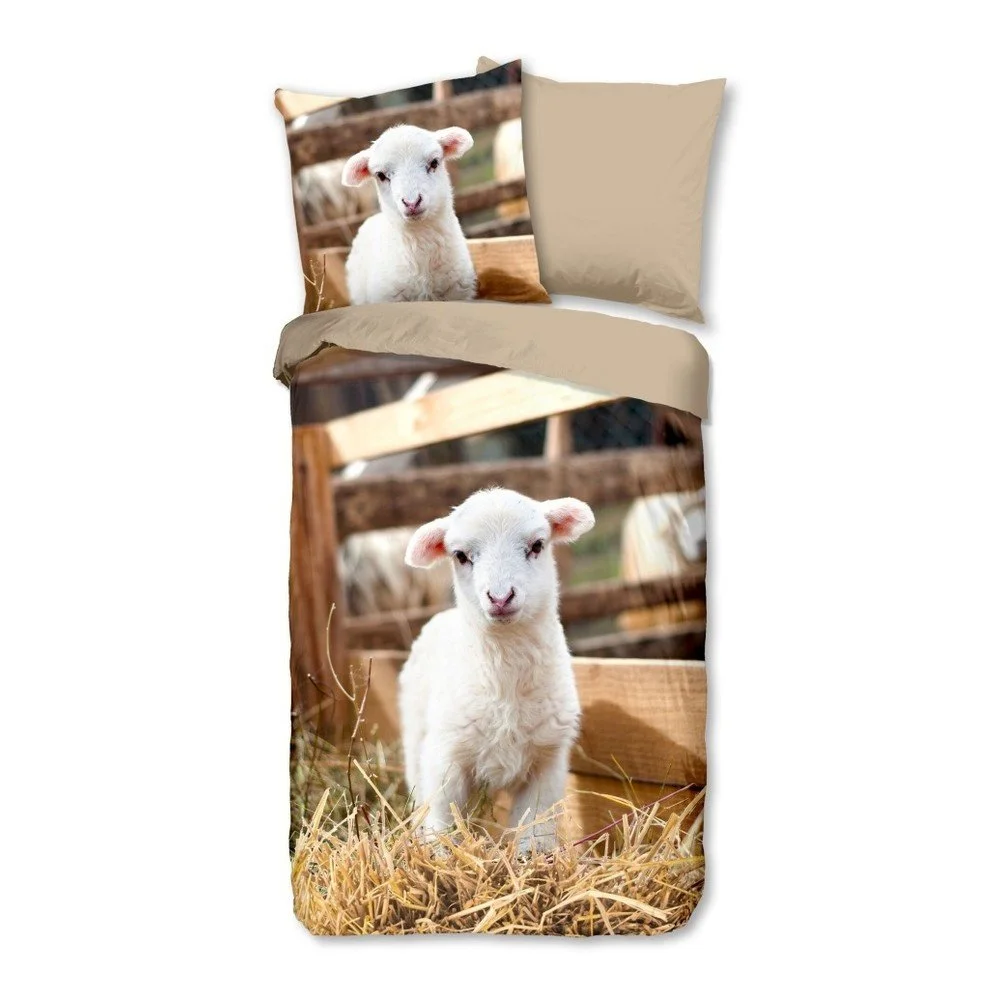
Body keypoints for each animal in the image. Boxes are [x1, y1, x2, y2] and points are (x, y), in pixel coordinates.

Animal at [398, 487, 595, 853]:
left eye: (537, 545)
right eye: (460, 555)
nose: (501, 597)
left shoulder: (546, 763)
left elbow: (534, 831)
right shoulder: (445, 759)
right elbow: (441, 824)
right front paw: (440, 859)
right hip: (415, 734)